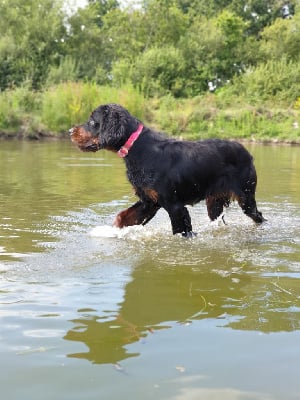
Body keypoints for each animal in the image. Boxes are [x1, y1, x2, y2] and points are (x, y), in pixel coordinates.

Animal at [68, 102, 264, 238]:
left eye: (92, 121)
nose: (70, 131)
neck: (138, 148)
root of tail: (247, 152)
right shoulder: (149, 201)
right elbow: (122, 217)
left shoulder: (174, 205)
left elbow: (180, 231)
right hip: (214, 202)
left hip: (246, 196)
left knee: (258, 216)